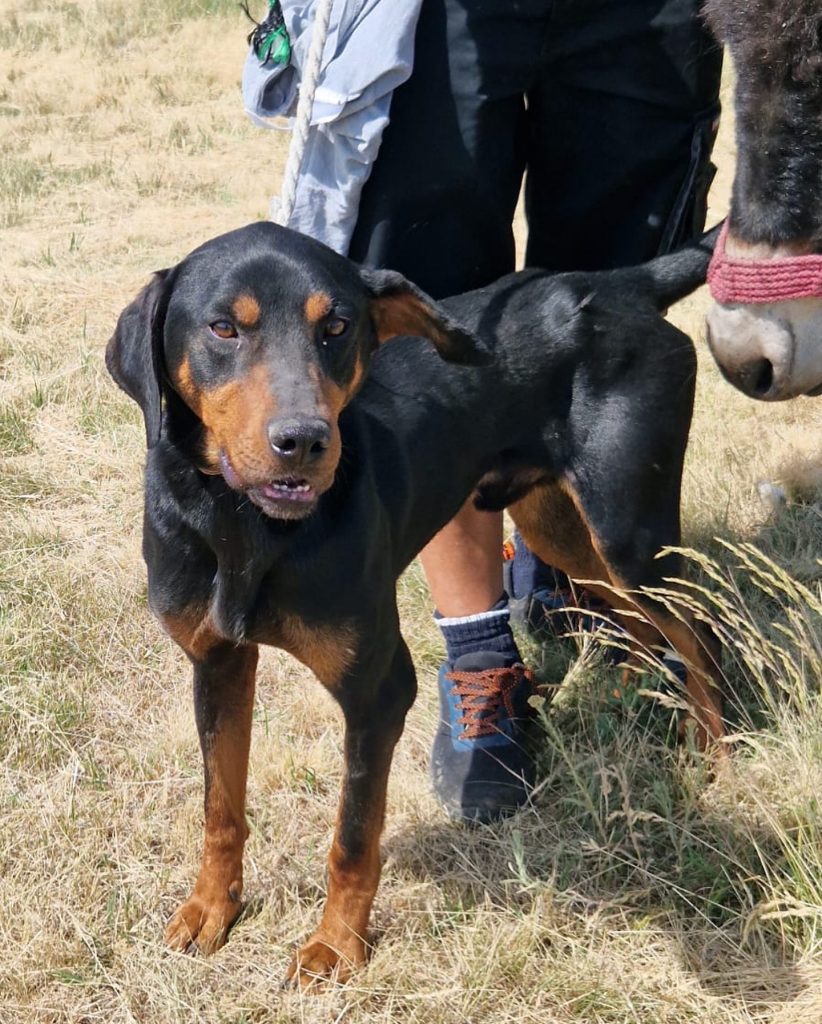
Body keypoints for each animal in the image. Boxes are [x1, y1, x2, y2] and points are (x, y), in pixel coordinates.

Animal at [107, 220, 724, 987]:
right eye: (223, 327)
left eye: (338, 326)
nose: (304, 442)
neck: (241, 522)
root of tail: (623, 283)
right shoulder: (217, 662)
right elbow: (220, 806)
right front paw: (211, 909)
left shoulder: (378, 689)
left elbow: (352, 834)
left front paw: (336, 945)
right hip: (560, 524)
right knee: (642, 620)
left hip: (629, 527)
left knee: (703, 629)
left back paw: (716, 751)